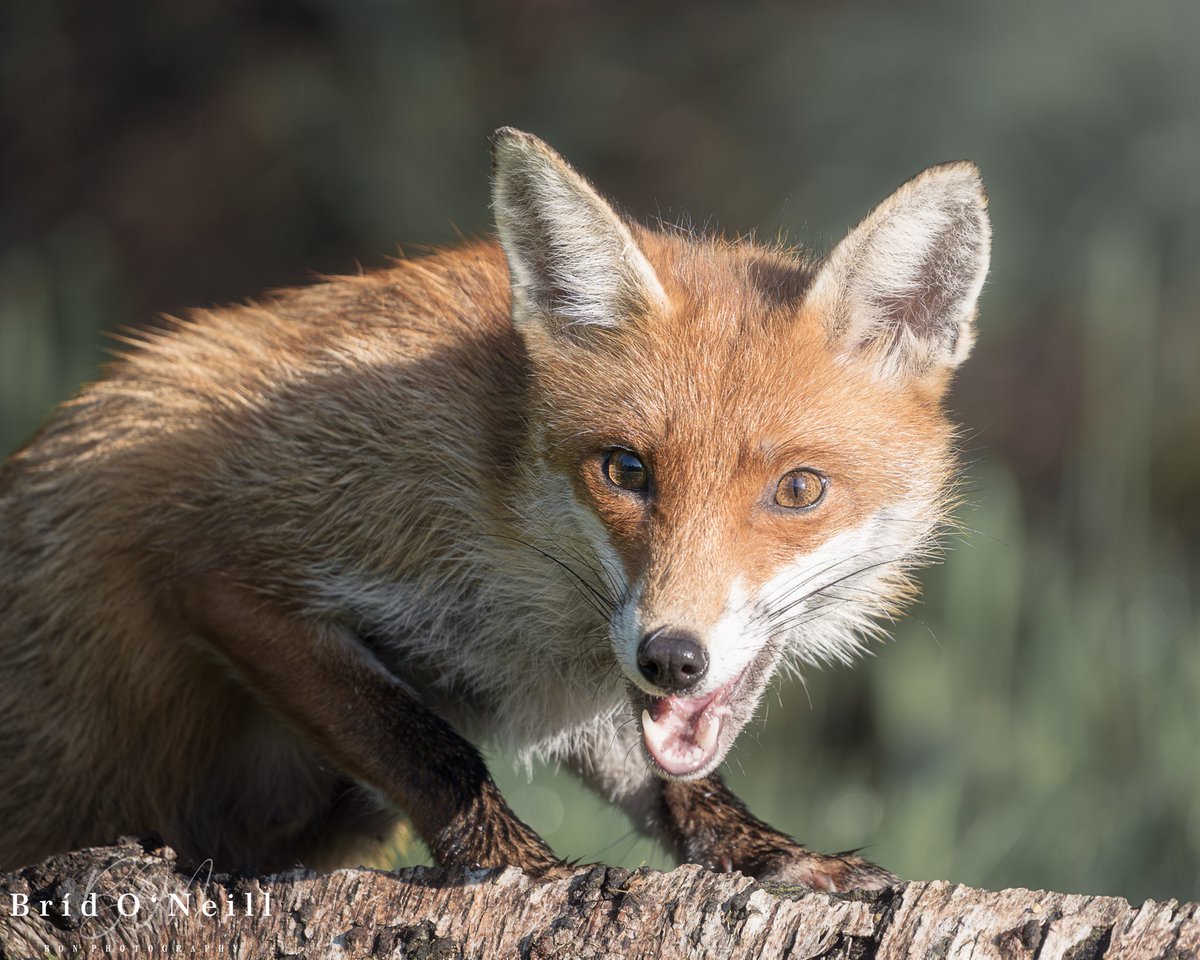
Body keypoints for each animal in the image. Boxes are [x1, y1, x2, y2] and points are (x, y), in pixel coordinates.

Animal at [0, 129, 988, 892]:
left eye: (798, 490)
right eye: (626, 470)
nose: (671, 657)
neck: (504, 507)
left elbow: (670, 780)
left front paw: (771, 855)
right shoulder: (226, 564)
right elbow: (431, 748)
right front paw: (519, 866)